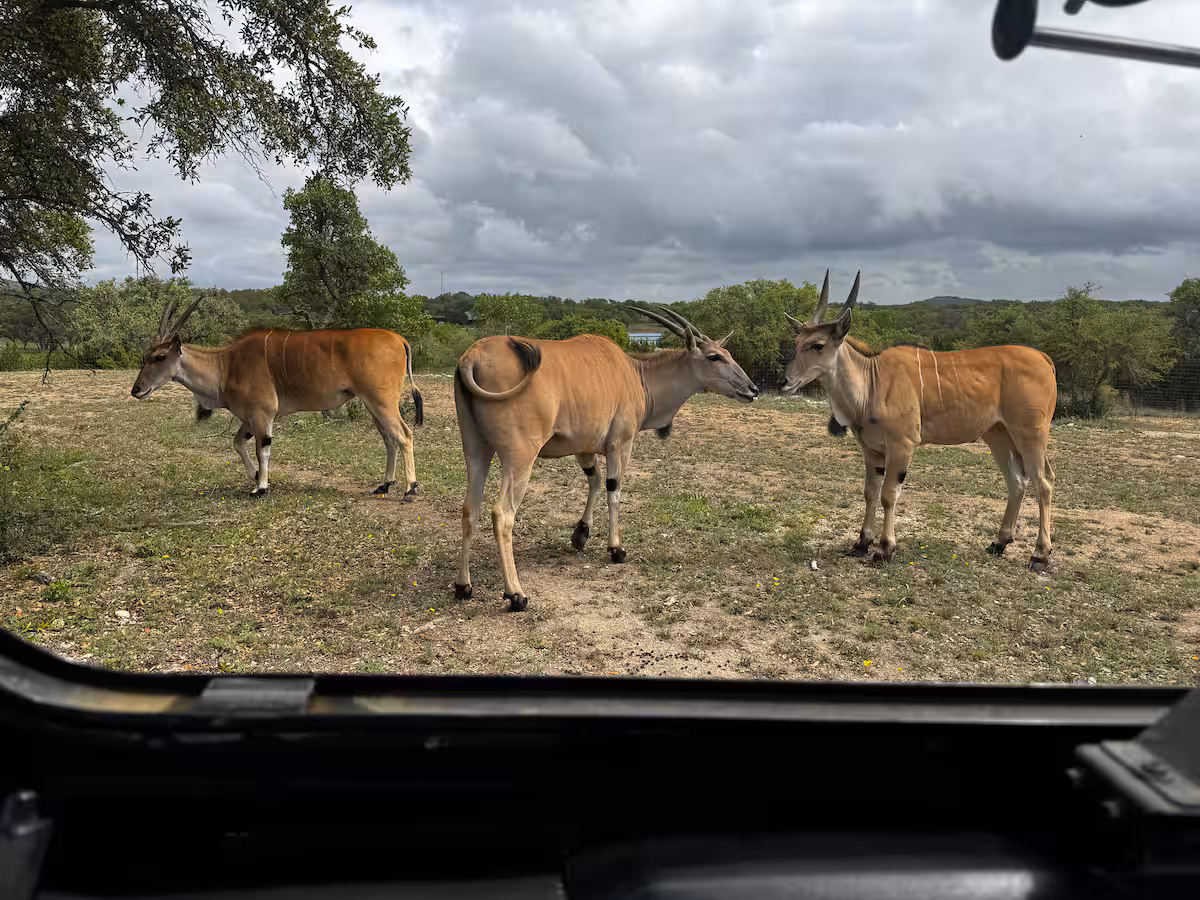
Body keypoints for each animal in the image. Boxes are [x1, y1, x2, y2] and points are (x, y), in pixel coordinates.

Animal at [130, 296, 424, 498]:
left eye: (160, 357)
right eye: (145, 356)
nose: (136, 390)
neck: (227, 365)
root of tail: (398, 339)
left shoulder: (262, 415)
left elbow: (263, 449)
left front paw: (260, 487)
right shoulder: (248, 419)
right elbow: (238, 443)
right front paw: (254, 476)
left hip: (382, 402)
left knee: (404, 435)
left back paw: (410, 489)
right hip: (372, 404)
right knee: (389, 438)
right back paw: (384, 484)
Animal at [452, 307, 759, 611]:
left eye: (727, 352)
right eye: (714, 356)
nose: (753, 389)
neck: (637, 375)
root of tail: (472, 357)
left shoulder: (583, 448)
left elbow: (596, 481)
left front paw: (580, 534)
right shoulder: (620, 443)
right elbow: (614, 489)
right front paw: (616, 549)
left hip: (477, 451)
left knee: (470, 509)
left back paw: (463, 586)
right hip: (520, 457)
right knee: (502, 513)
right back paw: (516, 594)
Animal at [782, 271, 1058, 572]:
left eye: (818, 345)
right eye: (796, 343)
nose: (785, 381)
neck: (872, 380)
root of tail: (1044, 359)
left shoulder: (902, 445)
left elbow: (888, 494)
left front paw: (884, 550)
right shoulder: (871, 450)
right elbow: (869, 491)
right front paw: (861, 544)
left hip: (1031, 433)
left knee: (1043, 483)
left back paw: (1040, 554)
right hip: (997, 435)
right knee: (1017, 481)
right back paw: (999, 542)